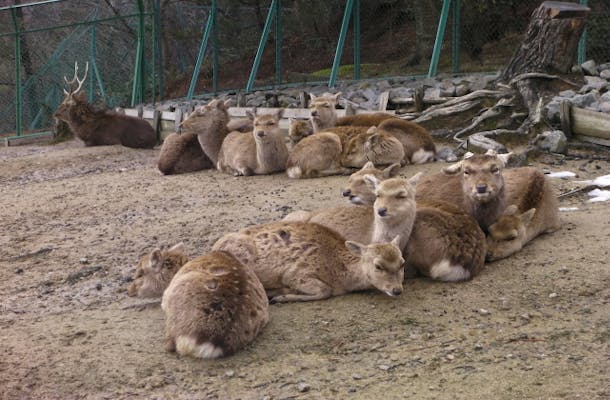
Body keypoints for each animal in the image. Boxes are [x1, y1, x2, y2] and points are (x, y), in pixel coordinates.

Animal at [211, 220, 406, 302]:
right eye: (378, 266)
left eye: (402, 263)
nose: (397, 290)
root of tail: (214, 247)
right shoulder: (296, 273)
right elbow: (324, 290)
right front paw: (282, 297)